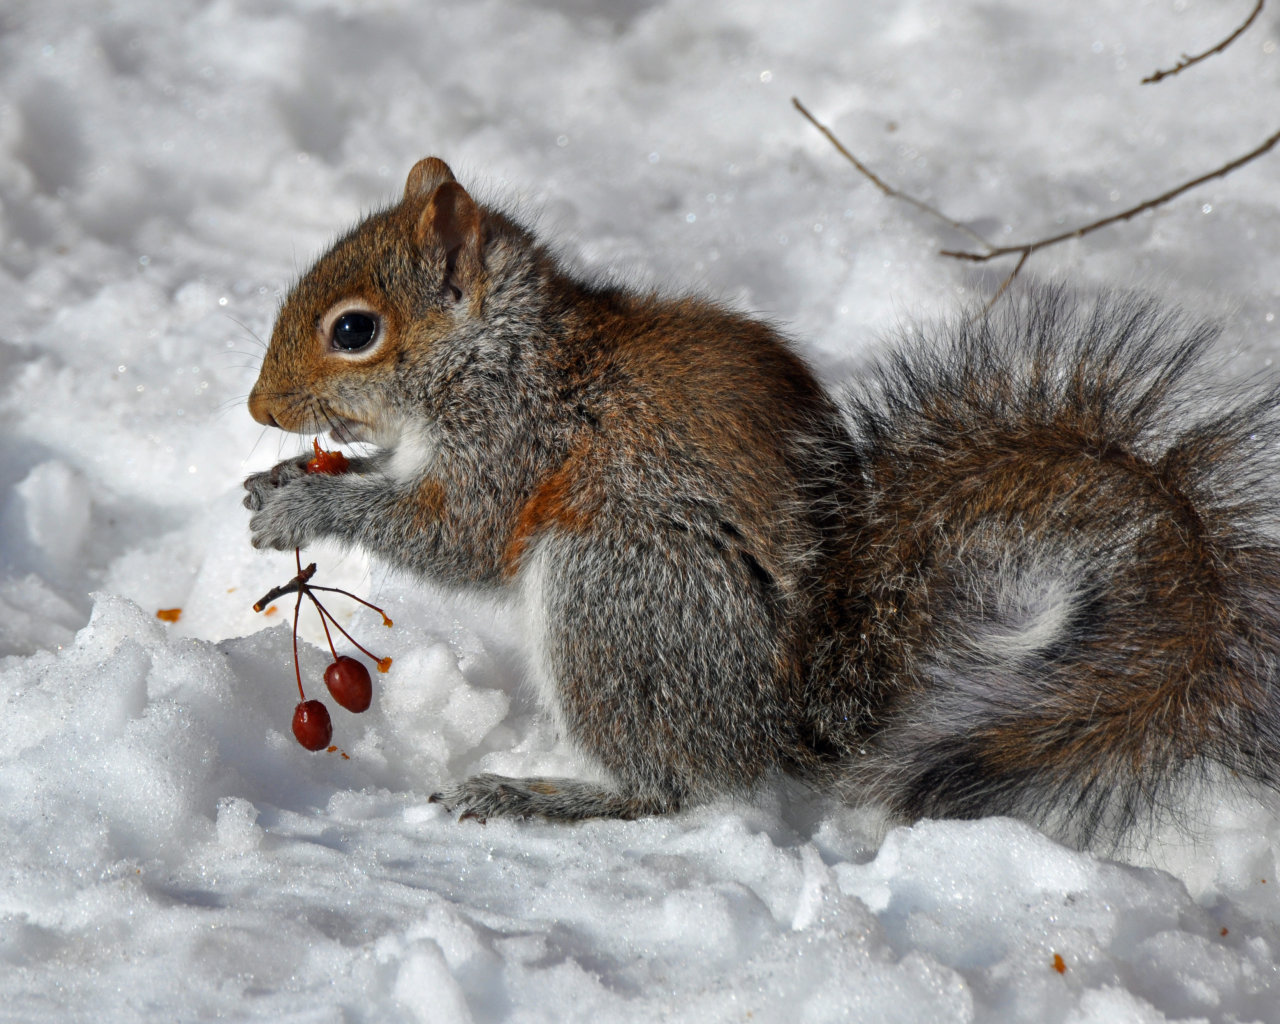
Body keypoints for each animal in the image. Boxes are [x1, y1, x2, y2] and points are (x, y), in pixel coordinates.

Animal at [244, 158, 1280, 849]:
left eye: (354, 331)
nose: (258, 409)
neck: (502, 352)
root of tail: (782, 717)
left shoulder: (516, 441)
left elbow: (455, 535)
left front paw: (306, 510)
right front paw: (280, 482)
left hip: (617, 590)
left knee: (672, 786)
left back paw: (541, 796)